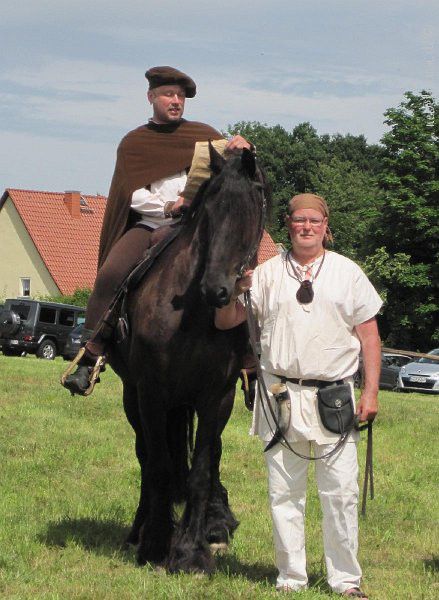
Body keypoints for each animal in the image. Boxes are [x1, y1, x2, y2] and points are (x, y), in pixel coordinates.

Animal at [108, 144, 268, 574]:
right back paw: (140, 529)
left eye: (249, 212)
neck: (194, 315)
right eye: (208, 213)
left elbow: (199, 471)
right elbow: (159, 466)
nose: (218, 290)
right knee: (147, 457)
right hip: (135, 398)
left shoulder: (216, 397)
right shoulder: (151, 394)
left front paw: (191, 551)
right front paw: (155, 543)